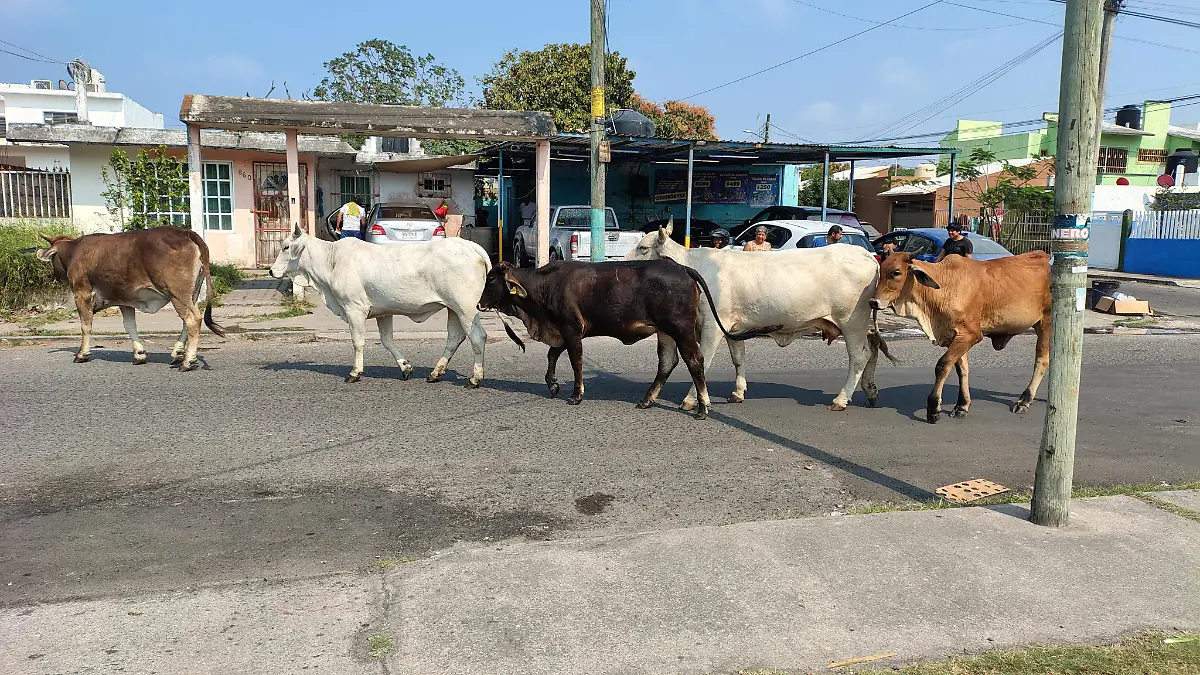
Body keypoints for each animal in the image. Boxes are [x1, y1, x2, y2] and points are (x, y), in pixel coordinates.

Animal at [34, 227, 226, 370]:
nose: (56, 276)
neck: (74, 250)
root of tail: (186, 232)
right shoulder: (125, 299)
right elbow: (129, 325)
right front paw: (139, 355)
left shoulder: (82, 293)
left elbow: (86, 325)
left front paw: (82, 354)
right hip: (191, 293)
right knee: (188, 320)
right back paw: (178, 352)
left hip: (178, 293)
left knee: (193, 319)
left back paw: (187, 361)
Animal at [268, 224, 492, 386]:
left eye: (286, 247)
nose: (271, 270)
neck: (331, 262)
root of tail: (469, 245)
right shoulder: (384, 312)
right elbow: (387, 341)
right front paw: (405, 367)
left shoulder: (354, 309)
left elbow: (358, 342)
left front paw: (355, 372)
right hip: (453, 308)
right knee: (455, 337)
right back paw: (436, 373)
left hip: (466, 308)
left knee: (477, 337)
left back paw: (475, 378)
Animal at [477, 258, 780, 420]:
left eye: (491, 278)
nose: (479, 303)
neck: (543, 288)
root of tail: (681, 267)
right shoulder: (562, 332)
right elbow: (552, 355)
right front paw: (552, 384)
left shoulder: (571, 329)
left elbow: (575, 362)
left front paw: (576, 394)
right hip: (665, 332)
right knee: (667, 363)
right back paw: (647, 399)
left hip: (680, 329)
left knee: (695, 361)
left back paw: (702, 406)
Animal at [626, 221, 891, 412]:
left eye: (643, 248)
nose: (621, 264)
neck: (695, 268)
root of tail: (866, 254)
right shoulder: (731, 327)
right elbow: (738, 359)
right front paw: (738, 392)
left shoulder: (712, 326)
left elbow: (703, 362)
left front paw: (692, 399)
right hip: (859, 325)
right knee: (873, 346)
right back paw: (871, 390)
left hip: (852, 323)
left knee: (859, 357)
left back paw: (841, 399)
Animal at [869, 250, 1052, 424]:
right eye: (881, 271)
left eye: (896, 272)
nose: (873, 302)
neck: (944, 287)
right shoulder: (955, 337)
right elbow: (961, 369)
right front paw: (962, 405)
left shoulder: (970, 335)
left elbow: (943, 365)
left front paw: (934, 408)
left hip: (1046, 323)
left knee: (1042, 360)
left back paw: (1025, 400)